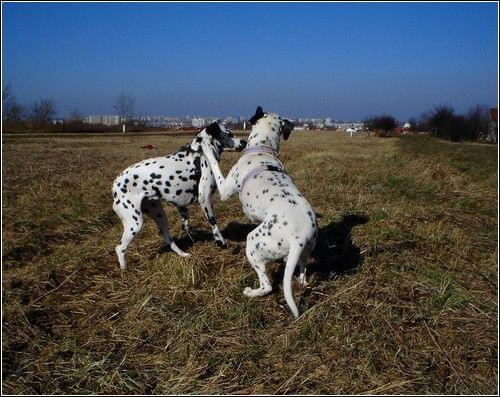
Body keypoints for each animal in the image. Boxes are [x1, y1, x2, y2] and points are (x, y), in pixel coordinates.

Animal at [112, 122, 247, 268]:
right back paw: (124, 268)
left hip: (159, 215)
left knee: (169, 240)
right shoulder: (205, 200)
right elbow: (214, 224)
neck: (200, 152)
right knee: (120, 248)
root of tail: (115, 186)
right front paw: (220, 241)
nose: (244, 142)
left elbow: (185, 223)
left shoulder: (181, 206)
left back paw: (183, 254)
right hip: (135, 224)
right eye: (229, 134)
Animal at [201, 106, 318, 318]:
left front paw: (206, 148)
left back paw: (251, 292)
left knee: (267, 286)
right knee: (302, 276)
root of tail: (298, 238)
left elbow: (214, 163)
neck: (262, 148)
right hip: (304, 254)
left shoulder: (224, 189)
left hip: (253, 244)